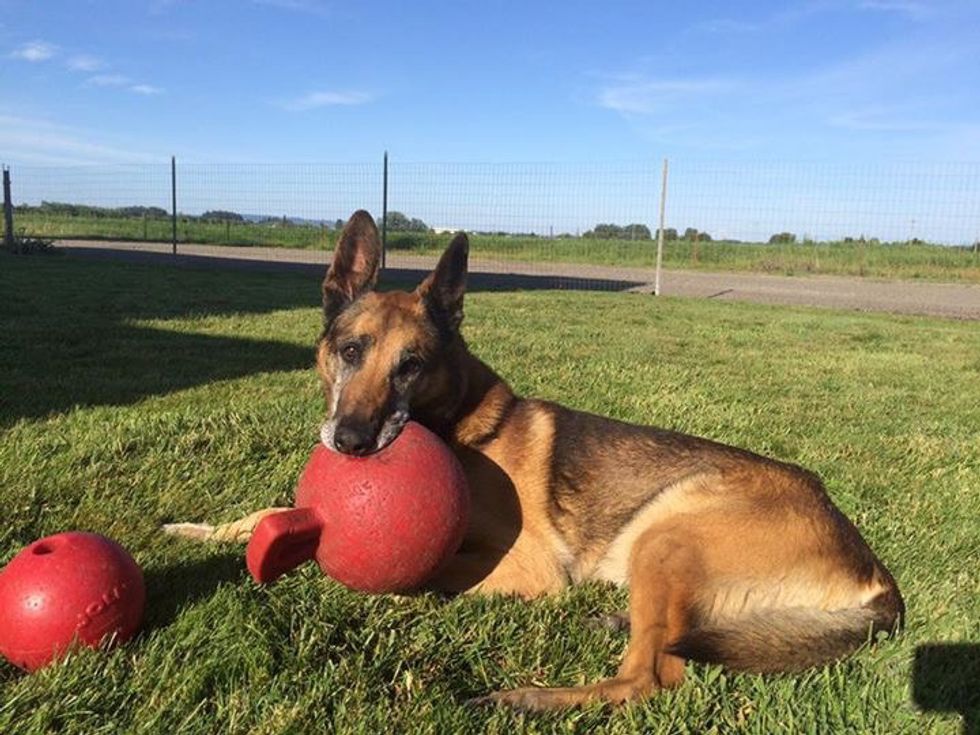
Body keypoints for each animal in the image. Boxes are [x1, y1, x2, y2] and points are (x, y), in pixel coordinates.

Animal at [168, 210, 903, 711]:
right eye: (350, 351)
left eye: (411, 365)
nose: (349, 443)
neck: (460, 423)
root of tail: (874, 572)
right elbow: (268, 512)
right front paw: (201, 530)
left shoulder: (530, 565)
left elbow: (419, 575)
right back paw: (613, 618)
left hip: (666, 534)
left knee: (650, 677)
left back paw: (530, 697)